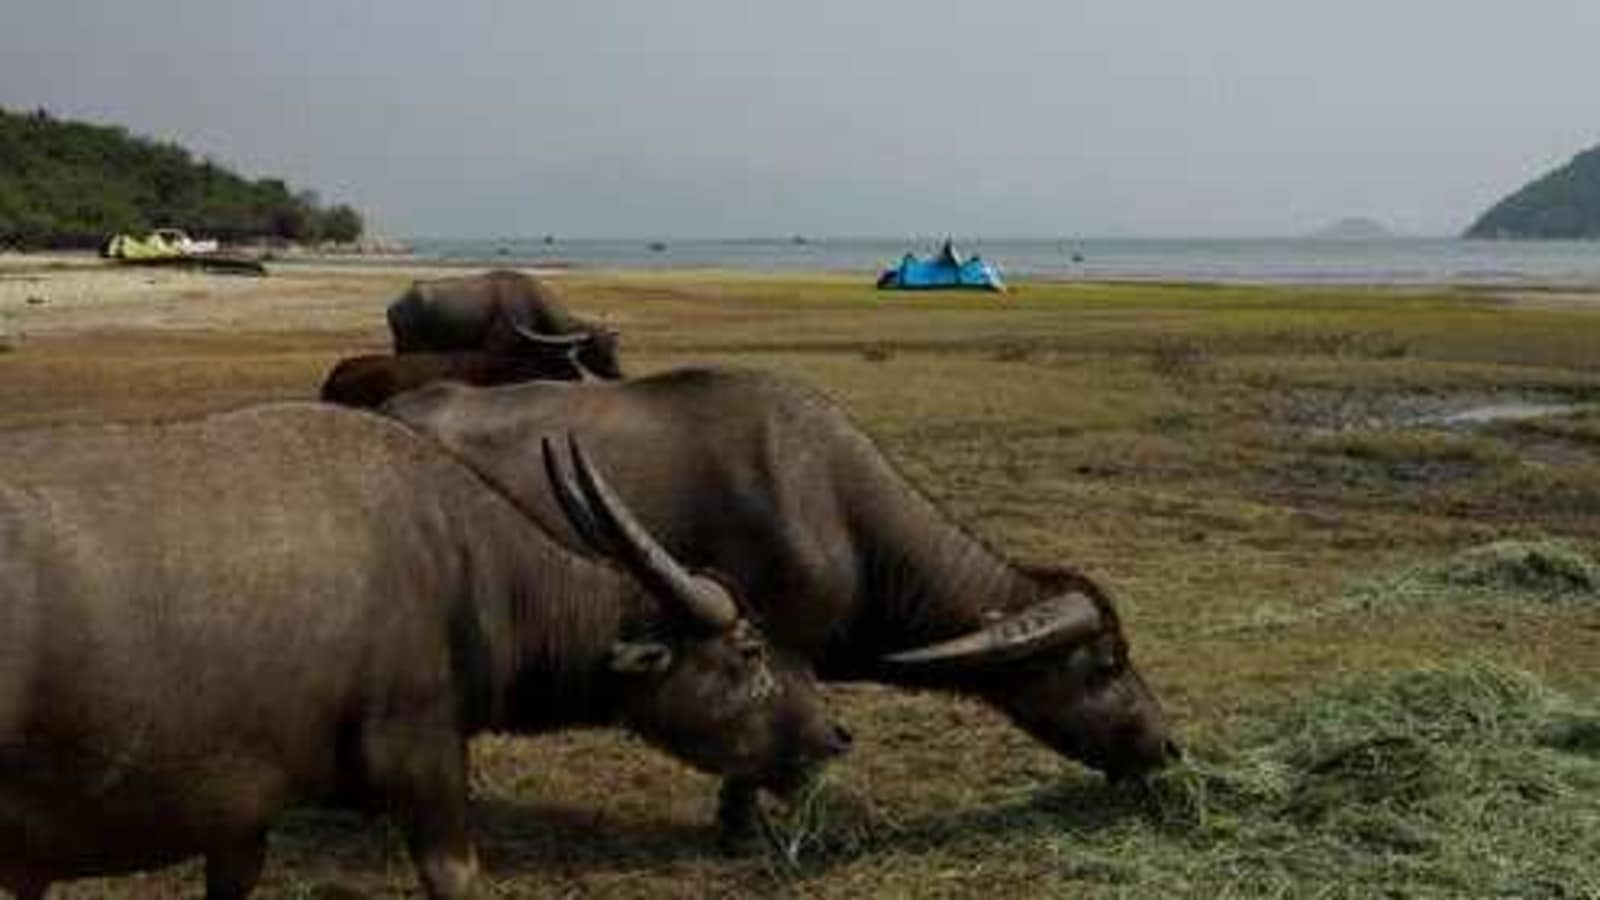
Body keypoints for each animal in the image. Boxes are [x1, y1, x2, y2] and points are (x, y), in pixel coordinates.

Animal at [0, 406, 851, 896]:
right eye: (750, 649)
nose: (834, 734)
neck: (460, 564)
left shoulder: (239, 814)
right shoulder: (423, 763)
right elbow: (456, 876)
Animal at [384, 267, 620, 376]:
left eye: (613, 346)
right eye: (595, 350)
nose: (618, 374)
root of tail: (396, 304)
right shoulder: (496, 352)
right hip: (407, 347)